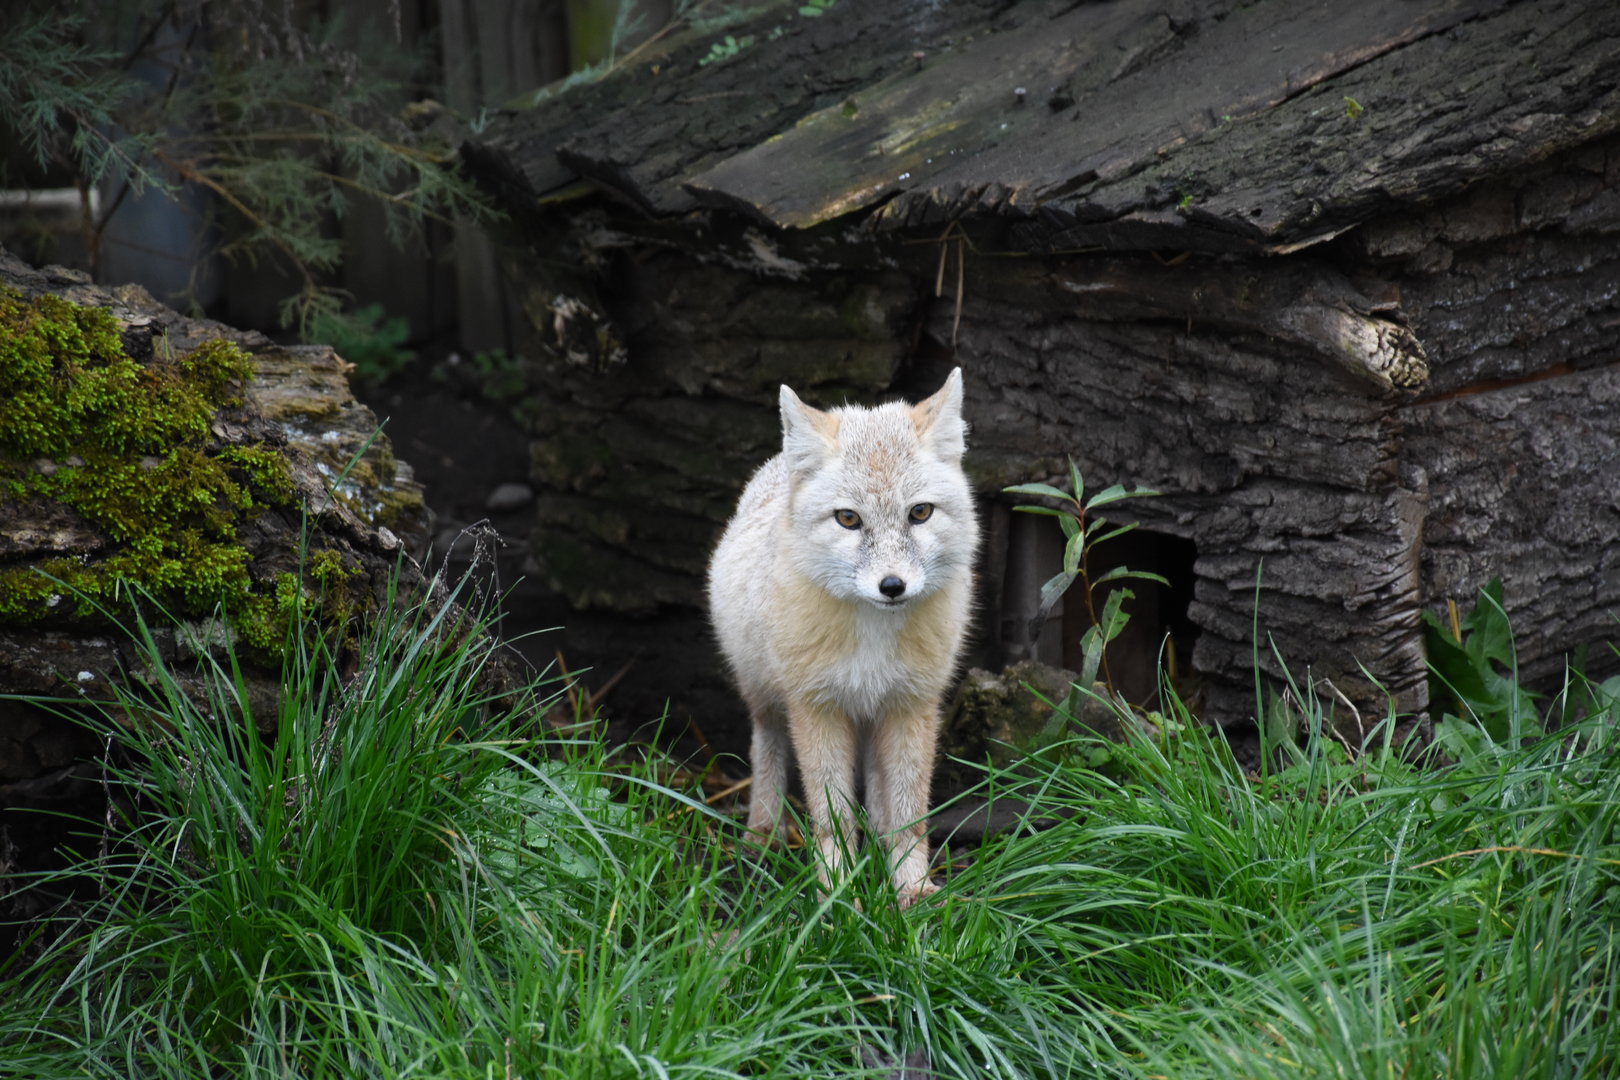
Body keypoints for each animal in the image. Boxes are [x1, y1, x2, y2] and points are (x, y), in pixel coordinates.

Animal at [708, 368, 978, 908]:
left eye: (920, 513)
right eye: (848, 519)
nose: (892, 586)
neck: (873, 637)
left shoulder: (912, 705)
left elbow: (910, 815)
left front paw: (911, 888)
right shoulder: (818, 709)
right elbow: (831, 819)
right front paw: (838, 895)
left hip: (874, 718)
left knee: (876, 791)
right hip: (768, 699)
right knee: (767, 751)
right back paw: (762, 834)